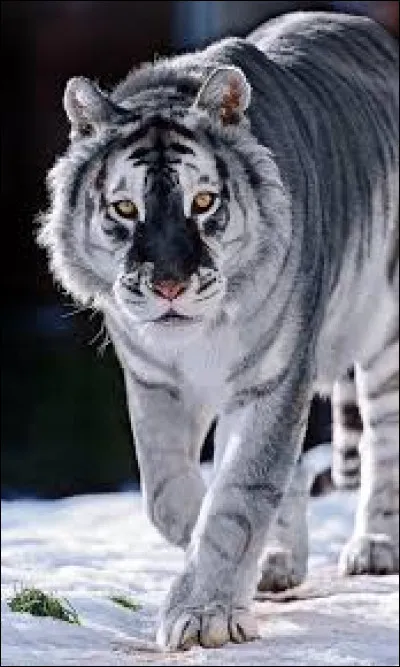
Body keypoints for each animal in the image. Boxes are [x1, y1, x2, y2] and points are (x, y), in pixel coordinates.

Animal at [38, 10, 399, 651]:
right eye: (125, 209)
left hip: (386, 340)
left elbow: (238, 496)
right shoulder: (154, 383)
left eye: (203, 202)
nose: (170, 286)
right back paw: (280, 560)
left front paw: (204, 613)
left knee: (385, 446)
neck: (196, 342)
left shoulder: (272, 380)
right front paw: (233, 566)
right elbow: (169, 497)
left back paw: (374, 547)